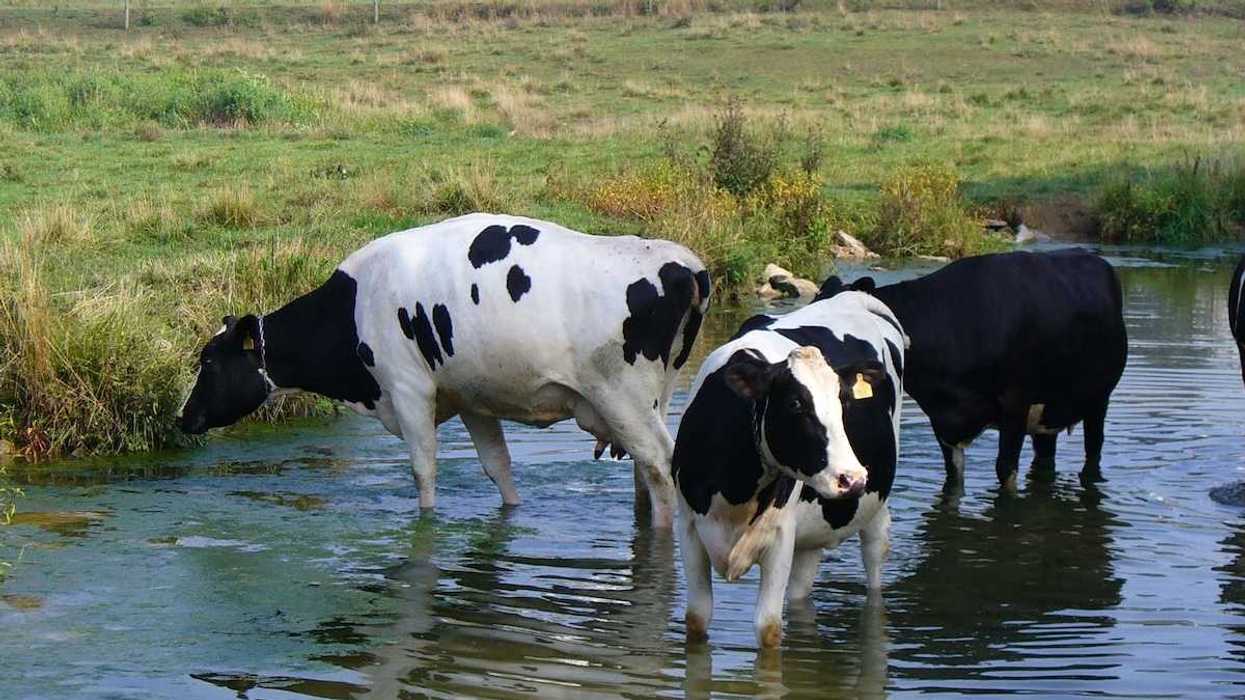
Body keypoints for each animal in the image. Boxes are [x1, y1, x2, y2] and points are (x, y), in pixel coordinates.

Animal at [177, 213, 711, 527]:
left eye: (208, 361)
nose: (183, 418)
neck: (355, 305)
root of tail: (682, 263)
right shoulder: (472, 400)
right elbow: (498, 468)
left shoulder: (408, 390)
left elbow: (424, 472)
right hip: (650, 399)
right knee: (646, 474)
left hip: (623, 397)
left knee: (660, 466)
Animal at [672, 291, 905, 648]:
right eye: (795, 404)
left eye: (844, 403)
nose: (852, 479)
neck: (735, 490)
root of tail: (850, 296)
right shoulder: (688, 527)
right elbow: (697, 619)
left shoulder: (780, 537)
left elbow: (768, 627)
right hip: (810, 537)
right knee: (800, 591)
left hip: (875, 508)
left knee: (875, 561)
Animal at [816, 248, 1127, 488]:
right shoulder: (943, 419)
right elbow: (953, 478)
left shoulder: (1016, 402)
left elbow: (1005, 470)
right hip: (1048, 411)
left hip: (1098, 399)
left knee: (1093, 448)